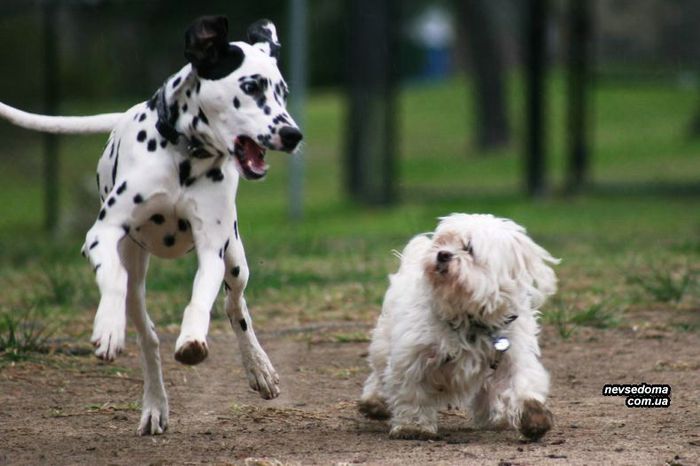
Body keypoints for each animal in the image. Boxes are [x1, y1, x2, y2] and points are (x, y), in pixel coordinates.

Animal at [0, 17, 302, 434]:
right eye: (251, 87)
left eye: (283, 92)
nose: (293, 135)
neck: (185, 157)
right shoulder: (102, 234)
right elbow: (112, 279)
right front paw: (108, 329)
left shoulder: (213, 249)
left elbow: (202, 297)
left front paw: (192, 339)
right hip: (136, 273)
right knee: (147, 334)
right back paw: (155, 404)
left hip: (236, 260)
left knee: (235, 304)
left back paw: (258, 367)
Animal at [358, 214, 560, 440]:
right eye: (442, 242)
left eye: (469, 248)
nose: (442, 254)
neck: (469, 317)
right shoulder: (413, 356)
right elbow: (411, 391)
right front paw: (413, 426)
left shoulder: (512, 353)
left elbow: (523, 381)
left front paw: (534, 415)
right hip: (383, 342)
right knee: (379, 372)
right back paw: (374, 401)